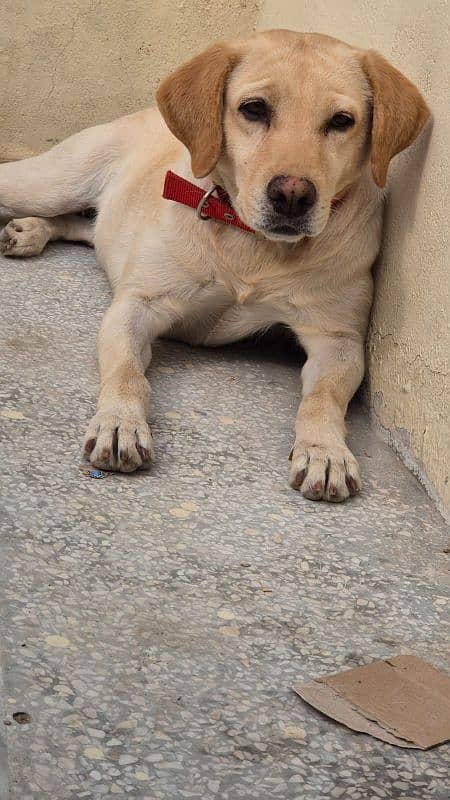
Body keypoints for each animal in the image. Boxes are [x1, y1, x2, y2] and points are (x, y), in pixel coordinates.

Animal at [0, 32, 428, 506]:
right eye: (254, 109)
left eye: (341, 121)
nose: (293, 196)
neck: (252, 245)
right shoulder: (137, 306)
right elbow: (128, 373)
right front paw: (120, 422)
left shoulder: (337, 340)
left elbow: (322, 399)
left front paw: (325, 450)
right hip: (48, 184)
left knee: (79, 224)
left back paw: (30, 231)